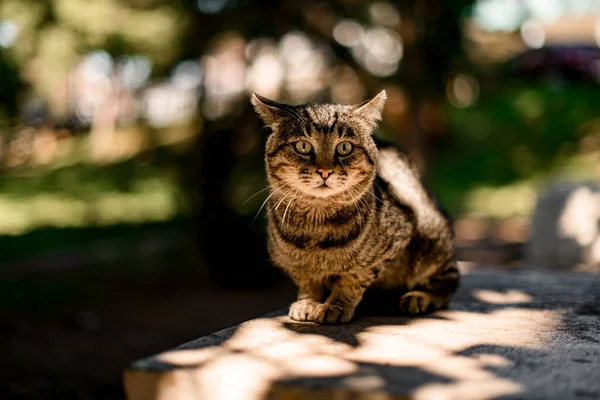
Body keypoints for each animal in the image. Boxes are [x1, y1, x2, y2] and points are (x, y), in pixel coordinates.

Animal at [251, 91, 458, 324]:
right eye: (303, 146)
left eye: (344, 147)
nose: (325, 171)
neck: (316, 226)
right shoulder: (290, 261)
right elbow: (306, 278)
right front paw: (309, 301)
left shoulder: (387, 248)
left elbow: (353, 278)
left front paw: (336, 305)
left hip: (431, 239)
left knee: (448, 280)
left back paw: (420, 296)